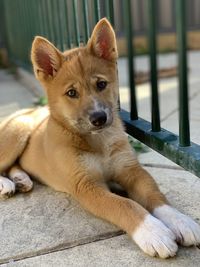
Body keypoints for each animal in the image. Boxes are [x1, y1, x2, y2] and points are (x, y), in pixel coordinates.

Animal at [0, 18, 200, 258]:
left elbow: (155, 196)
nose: (99, 118)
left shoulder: (131, 171)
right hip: (17, 133)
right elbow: (124, 204)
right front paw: (153, 232)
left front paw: (180, 221)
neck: (99, 141)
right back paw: (7, 184)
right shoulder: (86, 186)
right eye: (71, 93)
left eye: (101, 84)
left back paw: (21, 179)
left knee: (14, 165)